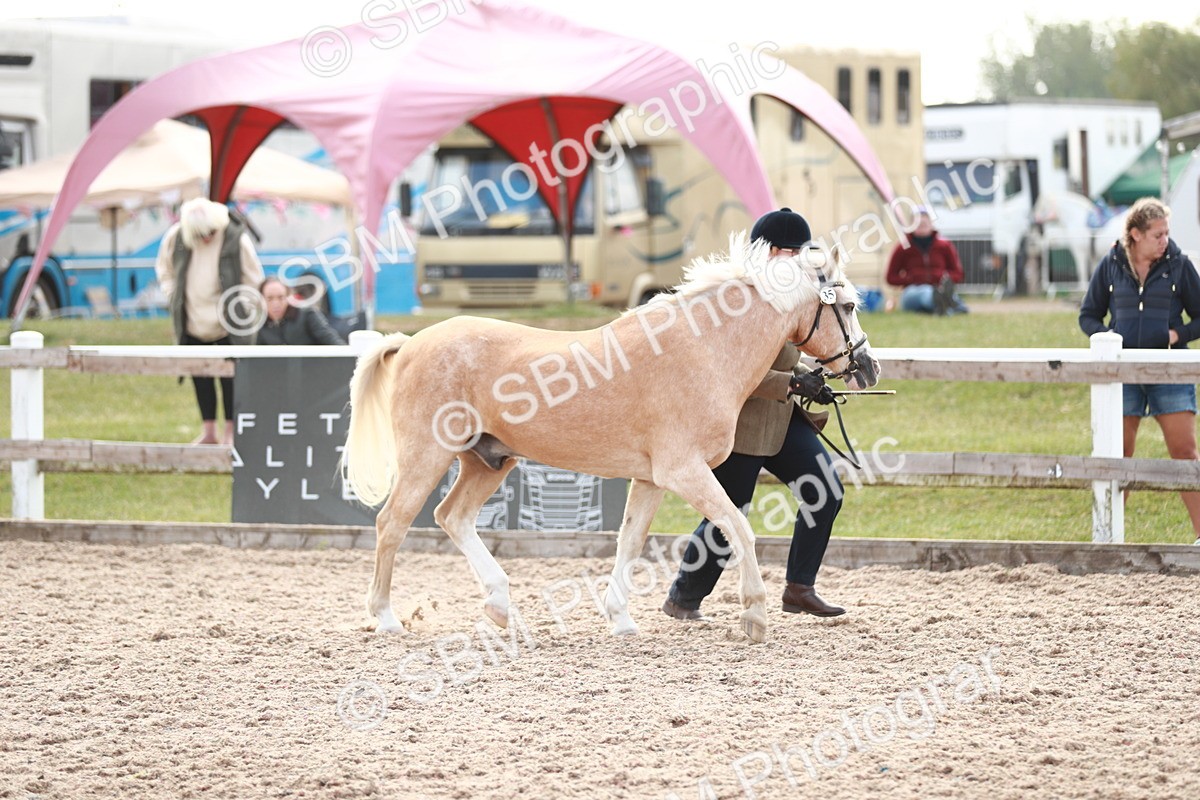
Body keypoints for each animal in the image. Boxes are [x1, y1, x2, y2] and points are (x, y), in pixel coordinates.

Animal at [341, 232, 880, 643]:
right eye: (850, 305)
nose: (868, 368)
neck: (703, 349)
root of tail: (411, 343)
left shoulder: (653, 479)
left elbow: (630, 541)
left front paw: (621, 620)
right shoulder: (684, 472)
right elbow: (738, 528)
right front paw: (754, 616)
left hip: (487, 461)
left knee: (451, 518)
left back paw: (500, 608)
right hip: (427, 457)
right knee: (393, 523)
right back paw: (386, 618)